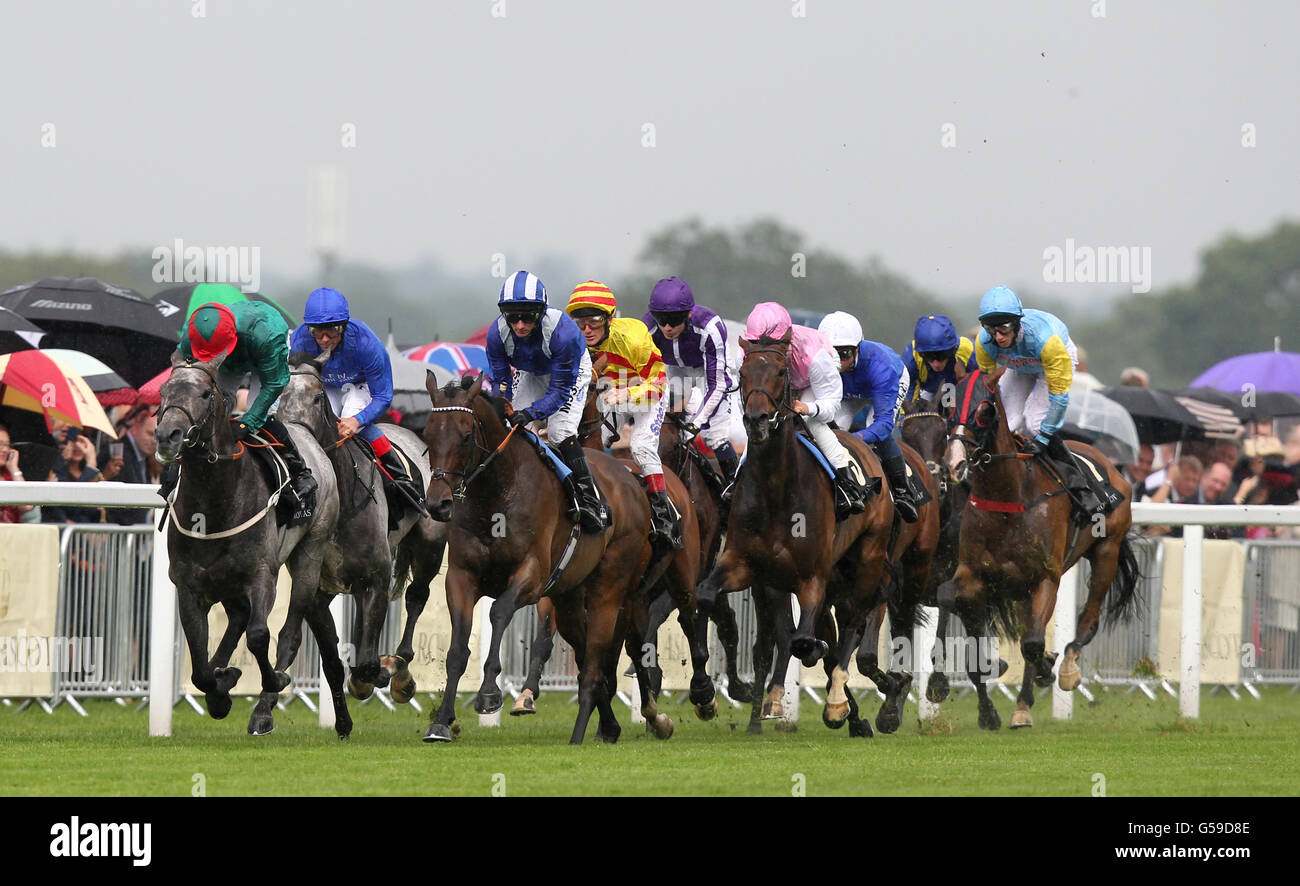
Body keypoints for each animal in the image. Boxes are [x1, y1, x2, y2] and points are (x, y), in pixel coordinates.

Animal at [155, 348, 351, 732]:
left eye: (205, 394)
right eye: (163, 392)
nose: (167, 435)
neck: (214, 503)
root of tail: (305, 432)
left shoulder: (262, 574)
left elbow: (260, 635)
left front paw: (272, 681)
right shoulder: (188, 584)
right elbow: (198, 662)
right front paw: (219, 690)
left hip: (310, 554)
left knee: (287, 631)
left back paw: (264, 702)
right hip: (227, 582)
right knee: (236, 619)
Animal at [274, 350, 447, 701]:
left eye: (316, 398)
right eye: (277, 398)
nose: (294, 446)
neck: (342, 498)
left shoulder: (376, 581)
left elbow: (367, 662)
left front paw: (382, 670)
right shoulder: (318, 588)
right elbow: (343, 658)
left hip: (430, 547)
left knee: (417, 596)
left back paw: (402, 670)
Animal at [426, 368, 681, 743]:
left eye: (465, 436)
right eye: (428, 435)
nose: (438, 503)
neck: (496, 495)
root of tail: (632, 480)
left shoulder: (532, 575)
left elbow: (499, 612)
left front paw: (489, 693)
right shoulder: (460, 576)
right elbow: (457, 649)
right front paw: (441, 721)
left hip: (610, 590)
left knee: (602, 655)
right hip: (570, 597)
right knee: (588, 654)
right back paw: (611, 725)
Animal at [696, 329, 899, 732]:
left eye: (779, 371)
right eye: (741, 373)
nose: (756, 419)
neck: (776, 487)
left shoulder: (812, 576)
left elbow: (805, 640)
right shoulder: (750, 566)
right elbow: (710, 598)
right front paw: (718, 692)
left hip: (868, 557)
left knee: (854, 621)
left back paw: (838, 701)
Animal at [946, 363, 1138, 722]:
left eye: (983, 409)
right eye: (947, 406)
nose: (955, 464)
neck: (1009, 496)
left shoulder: (1045, 577)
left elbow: (1034, 644)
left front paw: (1049, 666)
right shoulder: (974, 575)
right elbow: (981, 640)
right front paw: (989, 709)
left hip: (1106, 550)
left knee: (1087, 620)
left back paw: (1065, 671)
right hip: (1022, 588)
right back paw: (1023, 704)